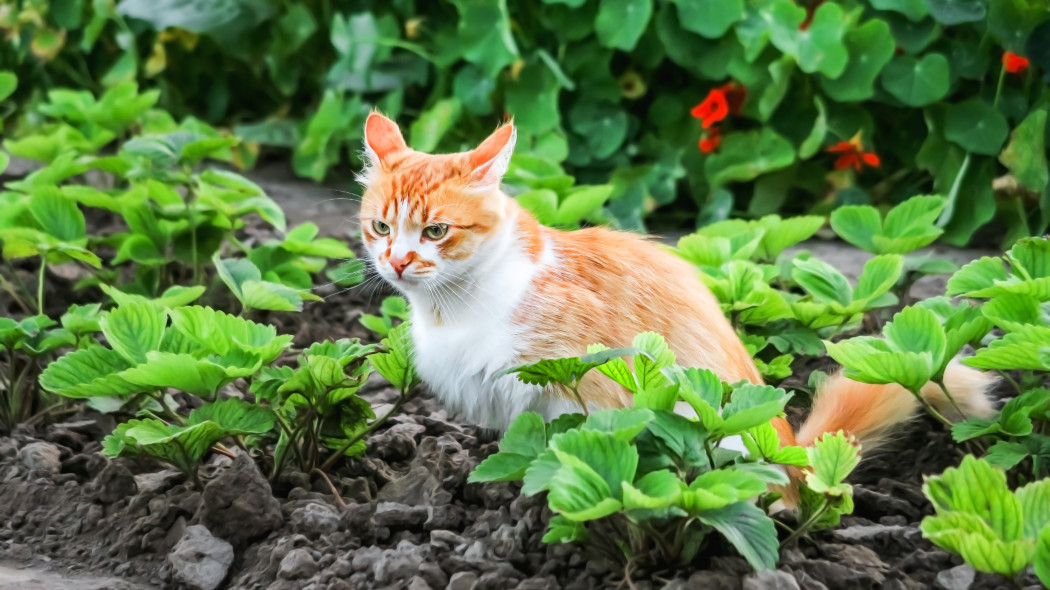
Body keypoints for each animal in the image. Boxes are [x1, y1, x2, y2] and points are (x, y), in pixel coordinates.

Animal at [356, 112, 995, 503]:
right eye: (381, 227)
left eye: (436, 231)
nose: (398, 262)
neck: (452, 309)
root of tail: (791, 457)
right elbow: (521, 449)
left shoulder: (577, 388)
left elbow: (570, 453)